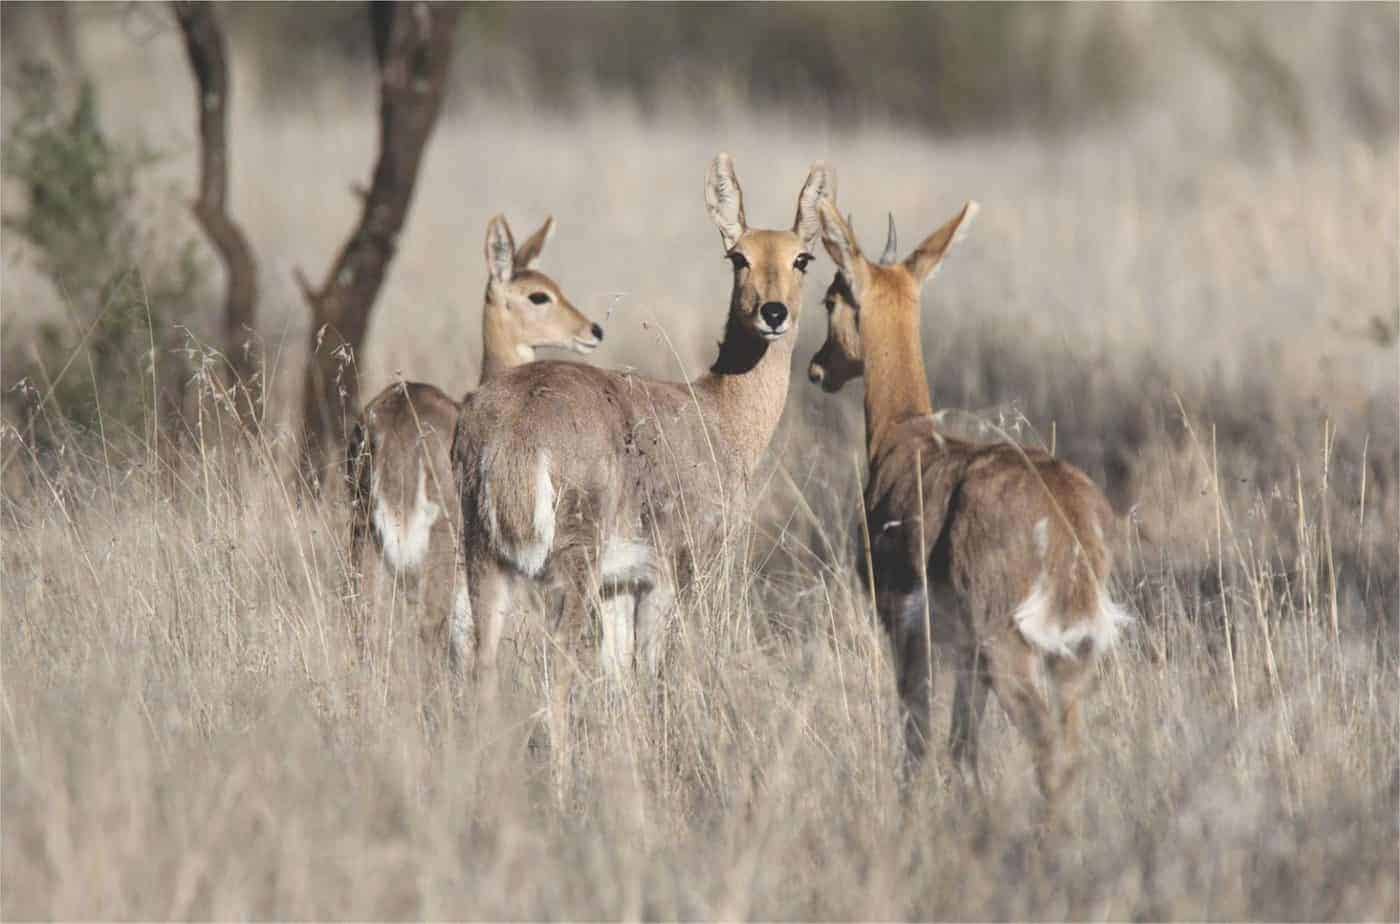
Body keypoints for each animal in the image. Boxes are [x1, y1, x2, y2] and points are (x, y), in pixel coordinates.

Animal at [448, 155, 828, 697]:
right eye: (738, 257)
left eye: (803, 258)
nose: (773, 313)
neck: (720, 415)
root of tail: (513, 432)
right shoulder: (669, 570)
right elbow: (649, 670)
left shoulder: (620, 584)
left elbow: (619, 671)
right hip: (569, 565)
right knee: (558, 660)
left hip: (485, 558)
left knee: (483, 663)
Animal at [812, 197, 1125, 817]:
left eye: (831, 296)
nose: (818, 367)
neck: (904, 438)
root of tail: (1068, 519)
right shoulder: (963, 653)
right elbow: (962, 746)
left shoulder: (906, 626)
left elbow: (918, 739)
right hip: (1070, 655)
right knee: (1073, 750)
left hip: (1010, 647)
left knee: (1048, 751)